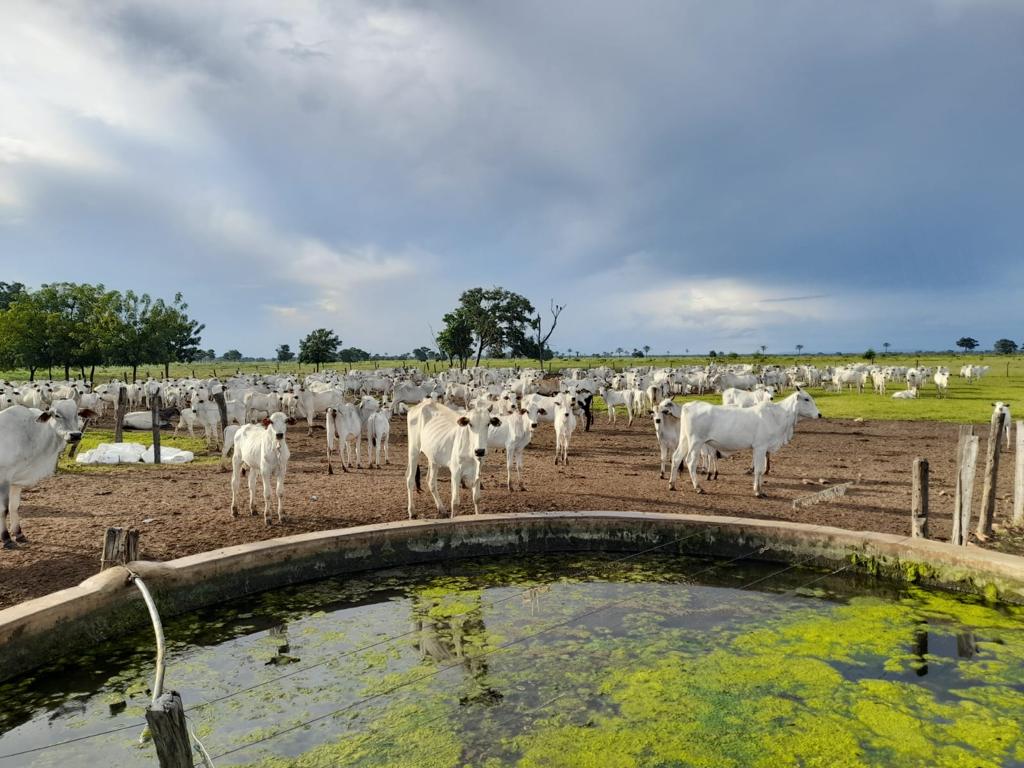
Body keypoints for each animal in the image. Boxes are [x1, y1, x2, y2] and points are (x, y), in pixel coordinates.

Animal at [0, 403, 96, 548]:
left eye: (77, 414)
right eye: (56, 415)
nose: (75, 435)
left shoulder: (17, 480)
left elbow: (14, 506)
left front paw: (19, 534)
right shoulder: (4, 477)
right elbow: (4, 509)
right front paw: (6, 538)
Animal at [667, 393, 819, 495]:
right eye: (807, 399)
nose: (819, 414)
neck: (778, 415)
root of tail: (689, 405)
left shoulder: (759, 449)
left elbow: (759, 469)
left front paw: (759, 488)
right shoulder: (760, 447)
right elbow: (759, 469)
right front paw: (758, 491)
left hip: (685, 439)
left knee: (676, 458)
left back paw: (672, 484)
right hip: (696, 442)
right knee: (690, 462)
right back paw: (698, 487)